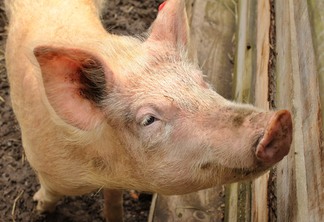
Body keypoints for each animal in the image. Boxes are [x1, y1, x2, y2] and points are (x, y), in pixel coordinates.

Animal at [3, 0, 292, 220]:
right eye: (149, 119)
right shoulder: (44, 164)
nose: (280, 119)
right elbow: (50, 191)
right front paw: (40, 208)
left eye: (201, 82)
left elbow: (114, 200)